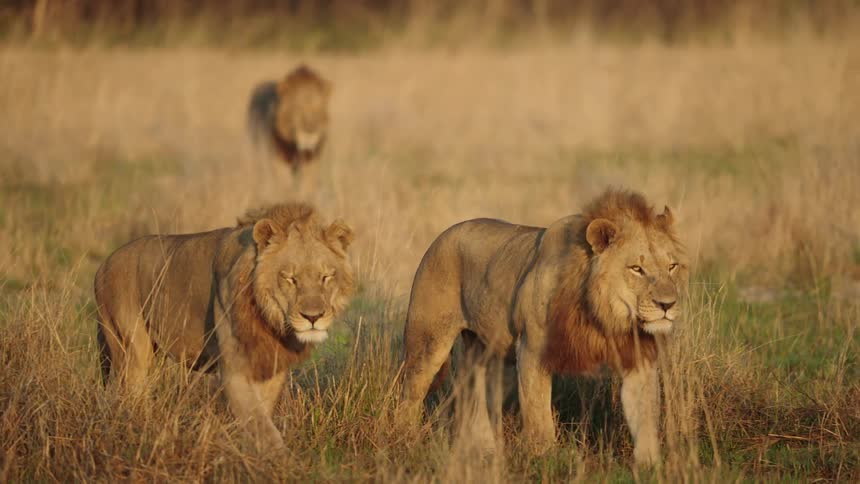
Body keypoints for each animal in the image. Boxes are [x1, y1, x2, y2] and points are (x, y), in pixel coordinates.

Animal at [94, 202, 355, 449]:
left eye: (326, 277)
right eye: (290, 278)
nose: (313, 317)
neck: (269, 318)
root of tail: (104, 263)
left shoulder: (271, 365)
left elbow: (262, 417)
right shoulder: (234, 371)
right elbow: (261, 426)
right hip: (130, 351)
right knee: (126, 395)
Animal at [398, 188, 688, 466]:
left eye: (672, 266)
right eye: (636, 269)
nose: (668, 304)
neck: (604, 318)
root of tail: (445, 233)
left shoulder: (638, 360)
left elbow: (646, 416)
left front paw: (653, 465)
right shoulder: (532, 350)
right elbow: (538, 415)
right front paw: (545, 458)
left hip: (484, 351)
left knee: (474, 394)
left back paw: (485, 450)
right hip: (428, 342)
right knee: (411, 393)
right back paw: (407, 441)